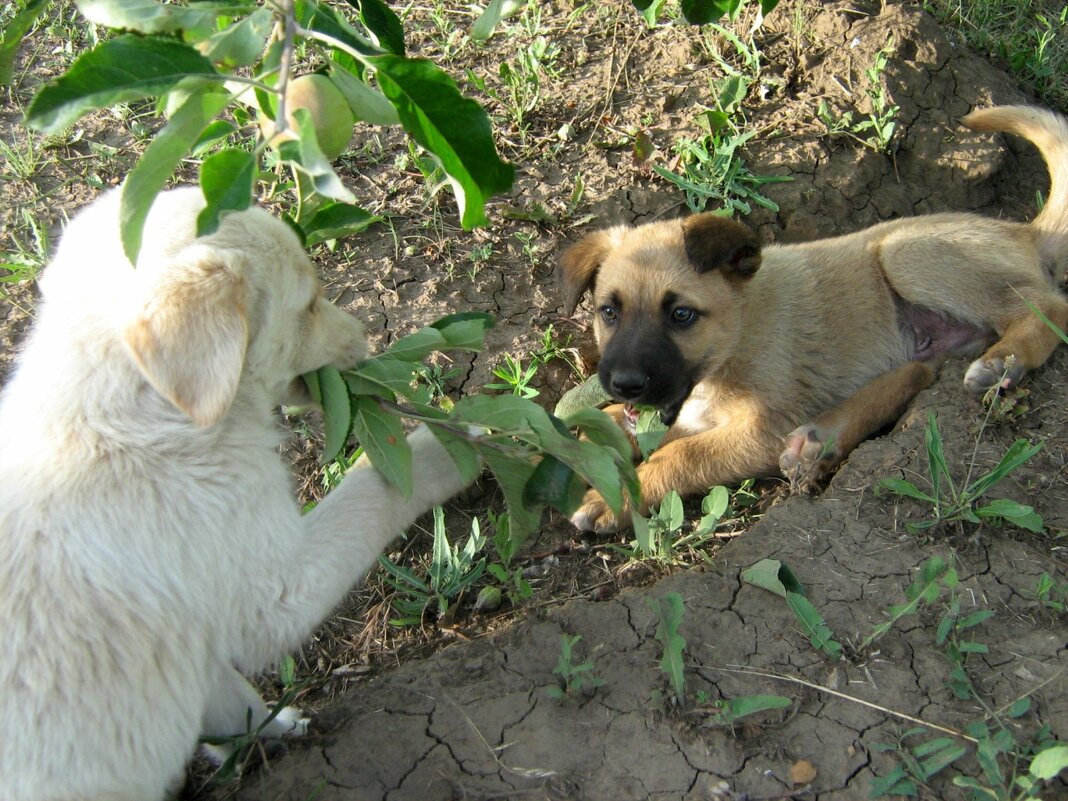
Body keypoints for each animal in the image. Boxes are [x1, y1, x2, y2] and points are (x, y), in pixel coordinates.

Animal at [0, 190, 476, 801]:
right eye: (310, 302)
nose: (365, 339)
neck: (143, 407)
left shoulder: (189, 647)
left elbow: (231, 703)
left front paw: (273, 730)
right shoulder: (271, 589)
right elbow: (374, 488)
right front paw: (473, 442)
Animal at [559, 105, 1068, 534]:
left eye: (681, 314)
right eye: (609, 311)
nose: (625, 384)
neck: (739, 335)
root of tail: (1021, 231)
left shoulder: (760, 430)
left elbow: (682, 454)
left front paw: (617, 497)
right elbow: (624, 425)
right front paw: (591, 435)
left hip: (904, 253)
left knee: (1049, 306)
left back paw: (1003, 362)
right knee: (921, 371)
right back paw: (821, 440)